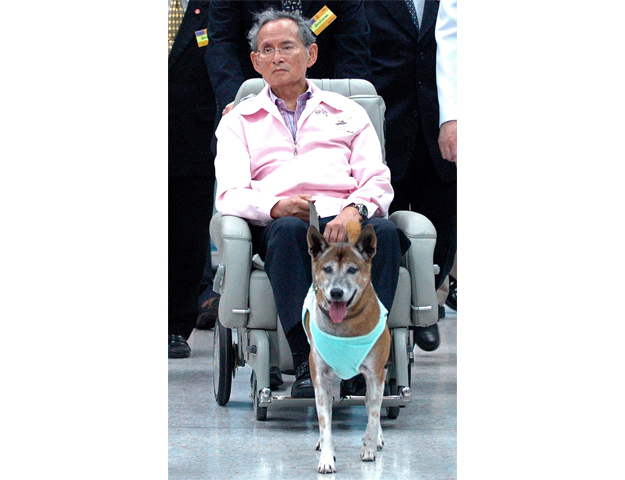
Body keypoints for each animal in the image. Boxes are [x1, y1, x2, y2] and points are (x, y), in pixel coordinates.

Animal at [304, 220, 390, 472]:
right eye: (327, 269)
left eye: (352, 269)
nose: (336, 292)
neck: (345, 323)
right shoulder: (320, 375)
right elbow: (324, 420)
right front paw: (326, 457)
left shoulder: (375, 373)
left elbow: (373, 413)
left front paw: (369, 447)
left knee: (373, 406)